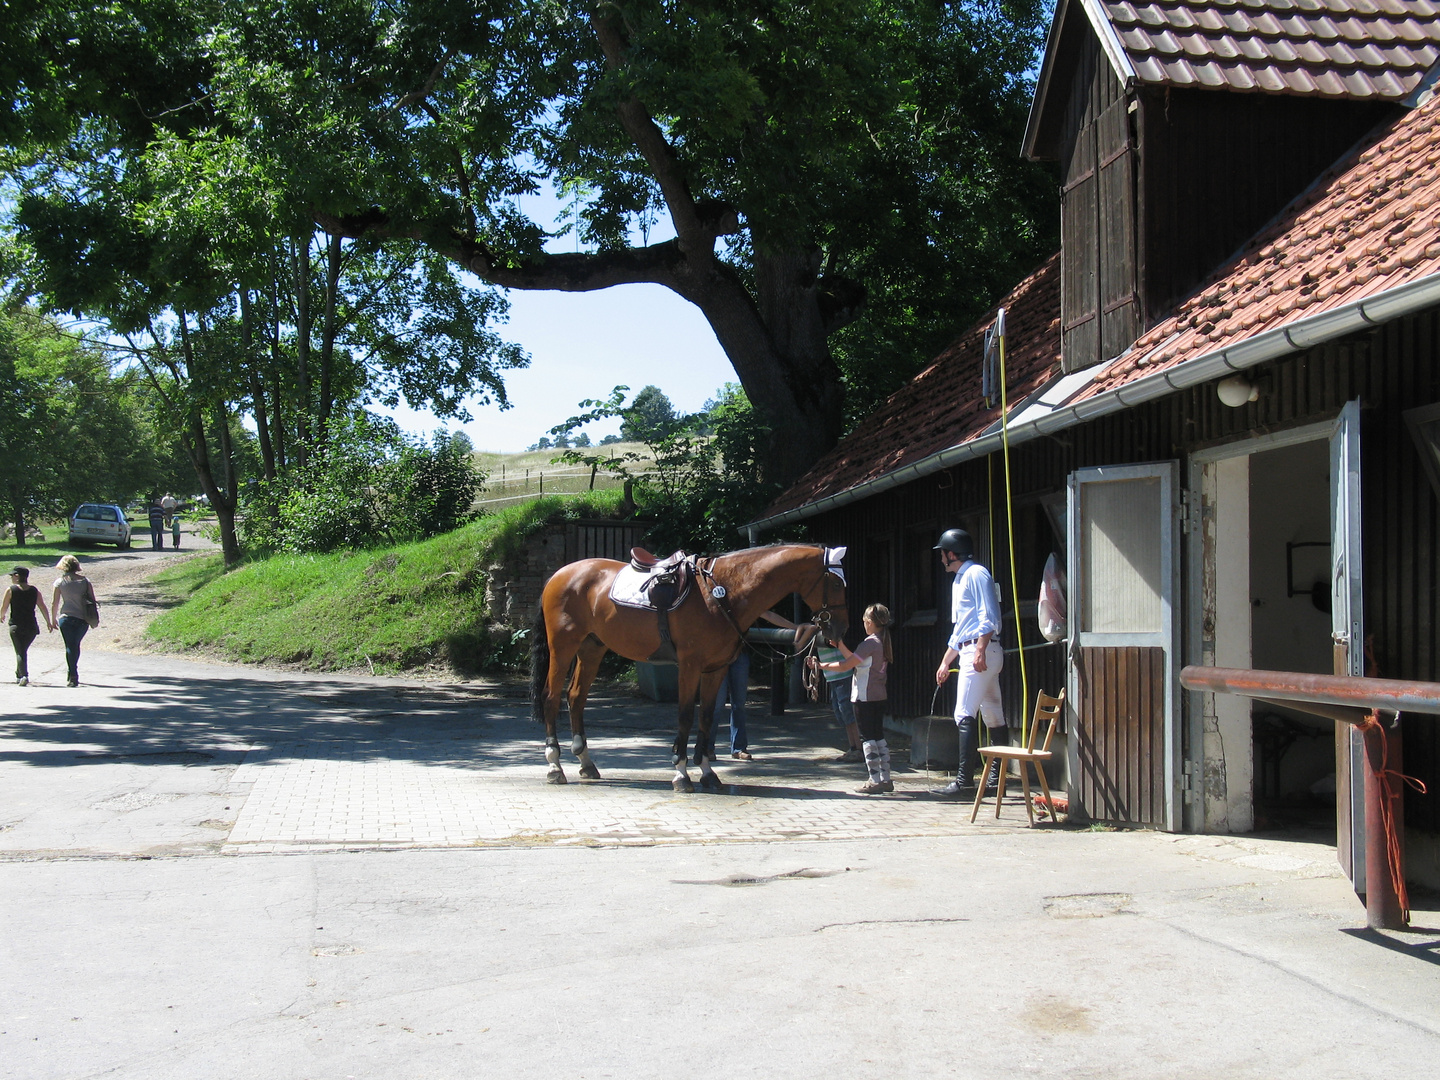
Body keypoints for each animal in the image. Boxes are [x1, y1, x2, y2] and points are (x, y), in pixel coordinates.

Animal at [529, 544, 840, 789]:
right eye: (837, 583)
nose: (840, 628)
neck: (722, 593)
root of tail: (558, 575)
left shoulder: (715, 669)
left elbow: (706, 717)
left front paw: (707, 773)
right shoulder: (690, 666)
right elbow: (685, 715)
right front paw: (681, 773)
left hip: (591, 648)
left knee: (576, 698)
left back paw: (586, 763)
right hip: (563, 646)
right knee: (551, 697)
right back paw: (554, 766)